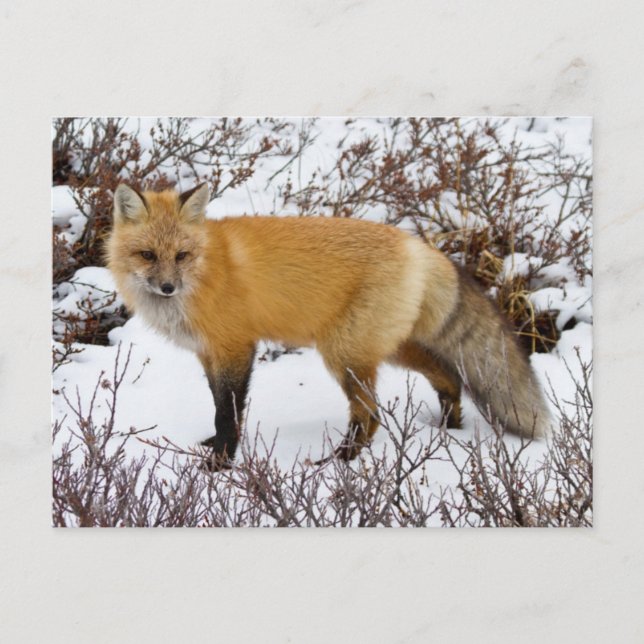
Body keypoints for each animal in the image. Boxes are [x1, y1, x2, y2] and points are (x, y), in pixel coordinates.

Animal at [106, 183, 551, 469]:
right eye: (147, 255)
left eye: (181, 255)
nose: (167, 287)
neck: (206, 273)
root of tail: (419, 246)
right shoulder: (208, 354)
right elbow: (218, 405)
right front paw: (214, 448)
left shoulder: (236, 347)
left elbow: (228, 412)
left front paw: (220, 464)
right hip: (386, 348)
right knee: (447, 376)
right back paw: (449, 427)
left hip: (344, 354)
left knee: (370, 414)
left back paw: (342, 462)